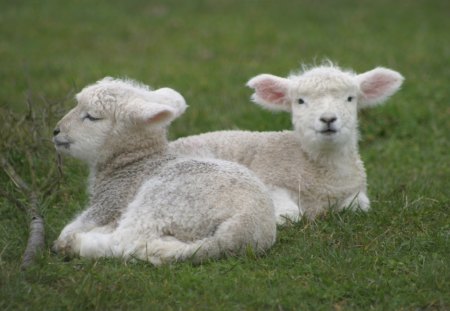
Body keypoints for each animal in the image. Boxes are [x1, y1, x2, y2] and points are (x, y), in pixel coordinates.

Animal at [52, 77, 278, 266]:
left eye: (91, 117)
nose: (56, 131)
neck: (134, 162)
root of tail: (243, 227)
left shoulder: (111, 201)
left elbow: (69, 229)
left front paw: (65, 240)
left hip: (162, 200)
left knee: (127, 241)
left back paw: (78, 244)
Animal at [170, 63, 404, 223]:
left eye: (350, 98)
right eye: (300, 101)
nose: (328, 119)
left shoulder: (355, 191)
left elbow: (359, 207)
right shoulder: (270, 179)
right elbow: (290, 215)